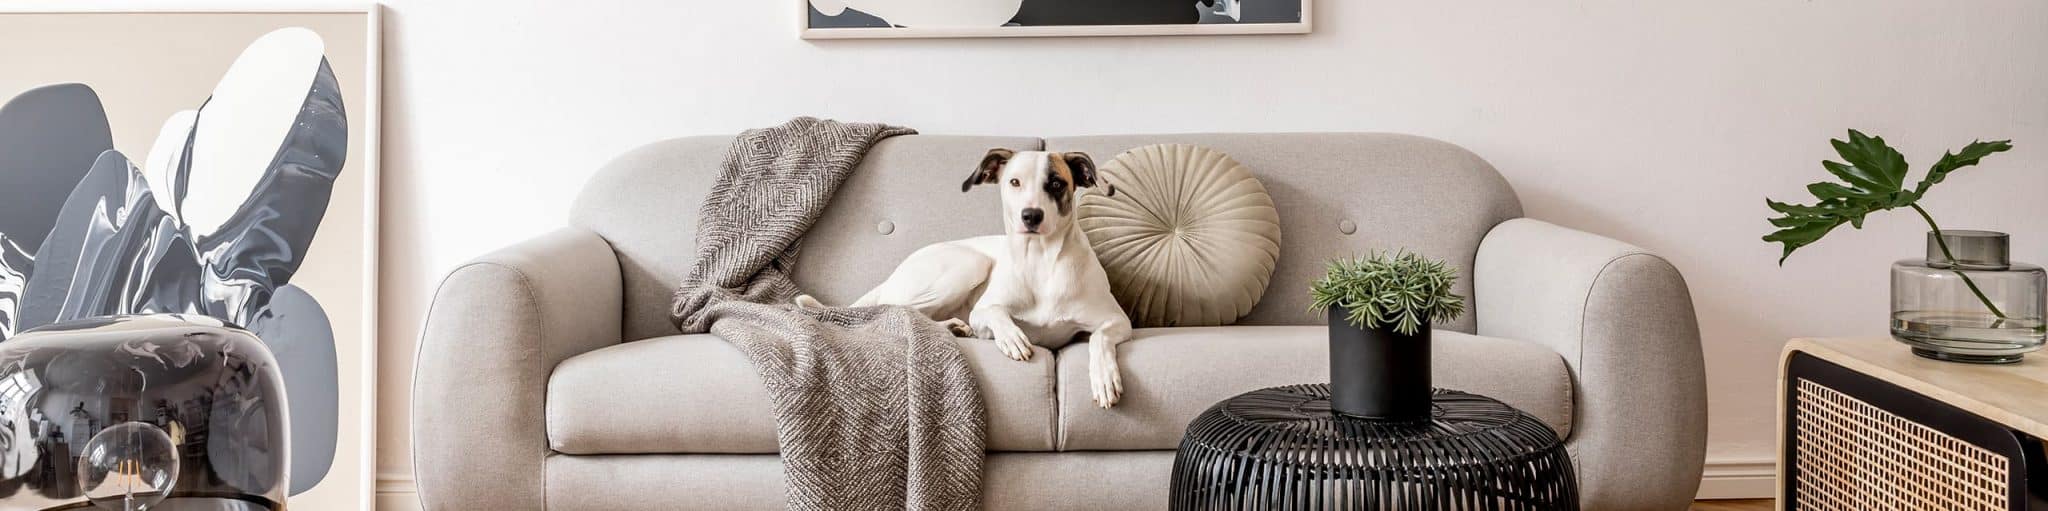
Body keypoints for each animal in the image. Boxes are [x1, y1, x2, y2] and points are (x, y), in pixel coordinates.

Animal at [794, 148, 1138, 406]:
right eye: (1014, 182)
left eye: (1056, 184)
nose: (1030, 215)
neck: (1041, 261)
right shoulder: (983, 312)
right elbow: (997, 314)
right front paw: (1012, 338)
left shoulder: (1117, 321)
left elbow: (1099, 339)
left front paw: (1104, 377)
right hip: (970, 263)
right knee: (897, 310)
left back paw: (954, 328)